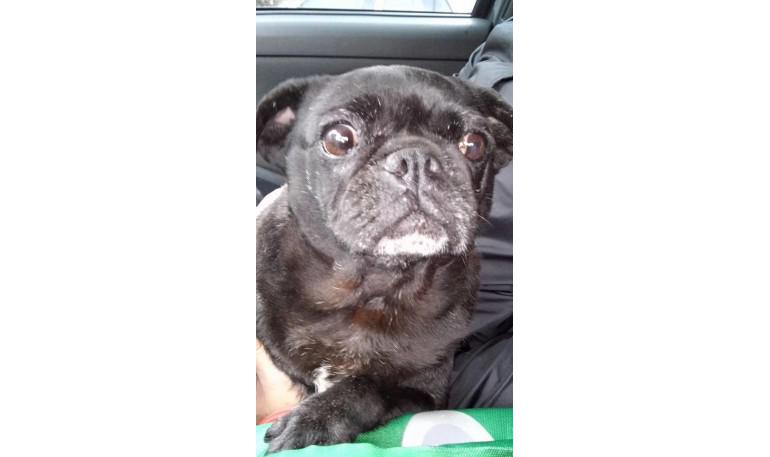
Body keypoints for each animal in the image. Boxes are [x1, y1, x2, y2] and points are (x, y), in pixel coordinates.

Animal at [256, 65, 512, 453]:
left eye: (474, 144)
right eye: (339, 139)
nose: (416, 159)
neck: (371, 288)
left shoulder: (424, 394)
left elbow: (370, 387)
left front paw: (314, 420)